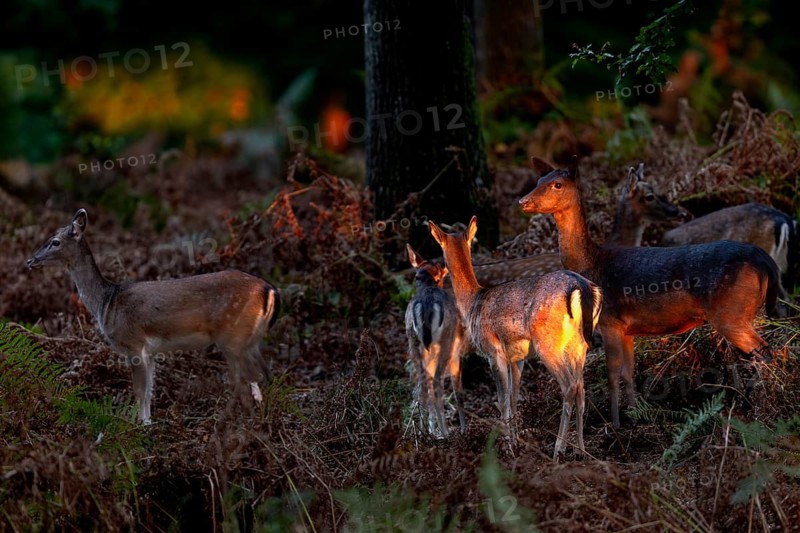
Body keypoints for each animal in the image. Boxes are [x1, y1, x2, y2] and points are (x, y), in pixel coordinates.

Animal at [26, 209, 281, 425]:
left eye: (55, 241)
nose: (30, 260)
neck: (106, 302)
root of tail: (269, 289)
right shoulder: (149, 351)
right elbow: (149, 390)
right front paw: (148, 424)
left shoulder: (133, 343)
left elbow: (140, 390)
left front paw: (140, 427)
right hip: (250, 339)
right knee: (264, 375)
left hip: (232, 336)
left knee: (245, 379)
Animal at [405, 244, 468, 437]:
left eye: (417, 276)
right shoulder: (456, 355)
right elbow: (458, 390)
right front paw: (464, 429)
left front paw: (432, 428)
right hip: (446, 342)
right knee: (438, 381)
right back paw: (445, 432)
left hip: (413, 342)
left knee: (422, 384)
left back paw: (423, 431)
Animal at [428, 216, 603, 458]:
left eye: (440, 249)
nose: (439, 272)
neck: (473, 304)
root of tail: (582, 287)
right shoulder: (517, 358)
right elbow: (513, 397)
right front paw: (515, 441)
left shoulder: (494, 352)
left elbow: (502, 401)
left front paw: (508, 447)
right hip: (579, 345)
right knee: (581, 387)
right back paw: (581, 449)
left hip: (547, 343)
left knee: (569, 386)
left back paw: (558, 449)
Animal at [518, 155, 781, 429]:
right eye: (539, 180)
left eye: (557, 184)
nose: (523, 202)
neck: (591, 264)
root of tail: (765, 261)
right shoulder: (627, 329)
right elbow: (629, 371)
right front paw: (636, 415)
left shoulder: (609, 321)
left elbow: (612, 373)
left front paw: (615, 424)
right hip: (747, 312)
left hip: (731, 313)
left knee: (764, 351)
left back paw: (758, 406)